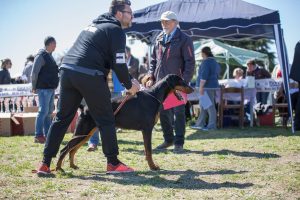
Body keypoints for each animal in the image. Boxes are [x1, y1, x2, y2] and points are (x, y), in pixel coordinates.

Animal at [55, 74, 193, 171]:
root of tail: (84, 108)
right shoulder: (147, 129)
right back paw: (58, 168)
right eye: (181, 80)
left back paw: (73, 166)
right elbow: (149, 151)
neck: (154, 95)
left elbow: (147, 150)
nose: (192, 89)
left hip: (86, 134)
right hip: (82, 131)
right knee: (65, 149)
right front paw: (153, 167)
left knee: (72, 150)